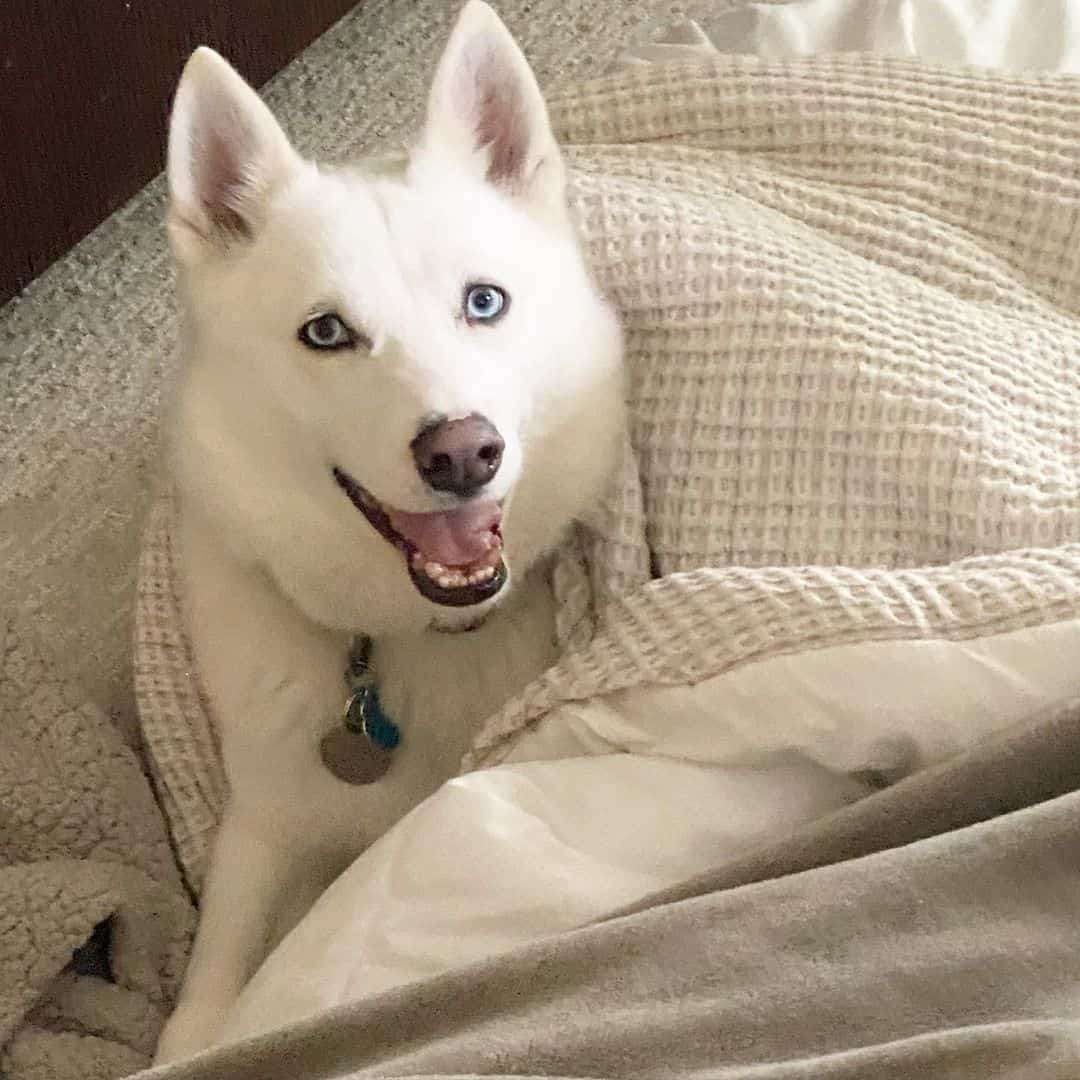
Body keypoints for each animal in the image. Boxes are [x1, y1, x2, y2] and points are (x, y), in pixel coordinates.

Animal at [154, 0, 626, 1062]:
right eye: (326, 333)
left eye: (484, 301)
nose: (463, 453)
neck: (404, 642)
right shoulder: (263, 815)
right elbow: (210, 982)